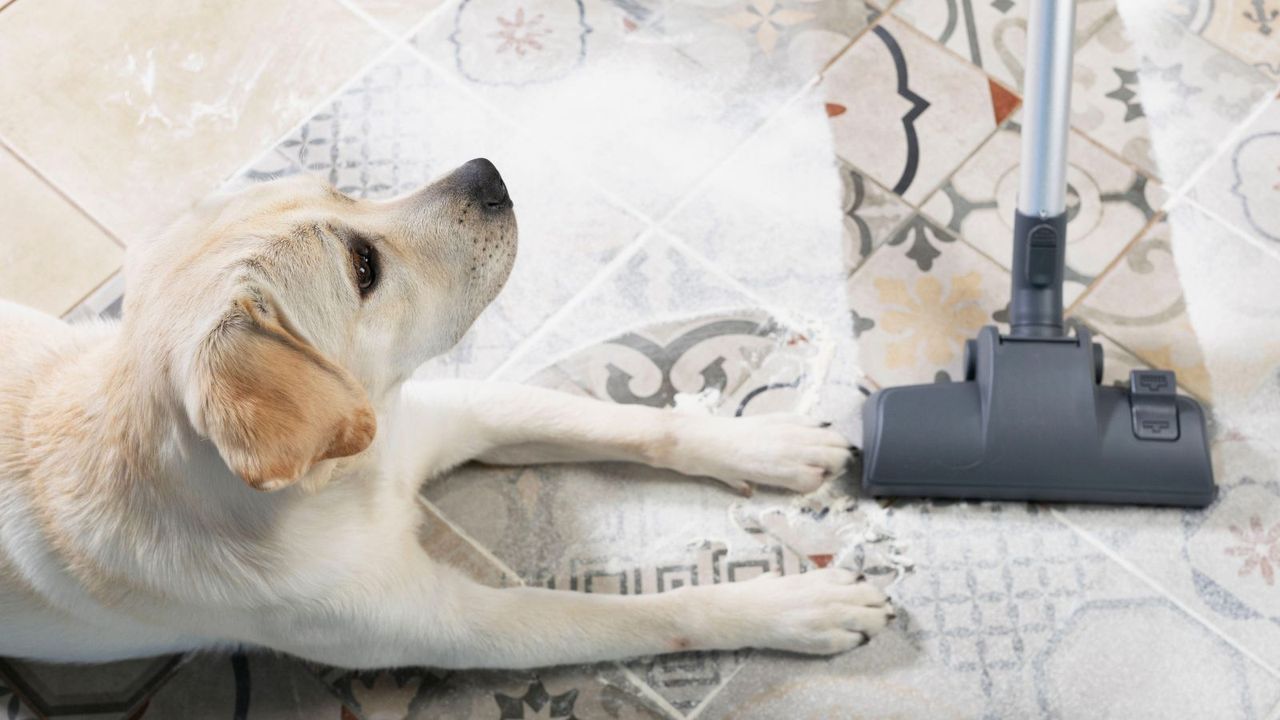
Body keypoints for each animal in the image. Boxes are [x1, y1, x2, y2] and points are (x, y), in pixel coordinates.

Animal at [0, 161, 896, 666]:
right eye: (362, 266)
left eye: (342, 190)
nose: (486, 171)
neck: (345, 484)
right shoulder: (460, 627)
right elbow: (652, 613)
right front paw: (796, 608)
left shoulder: (445, 414)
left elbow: (634, 423)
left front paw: (763, 442)